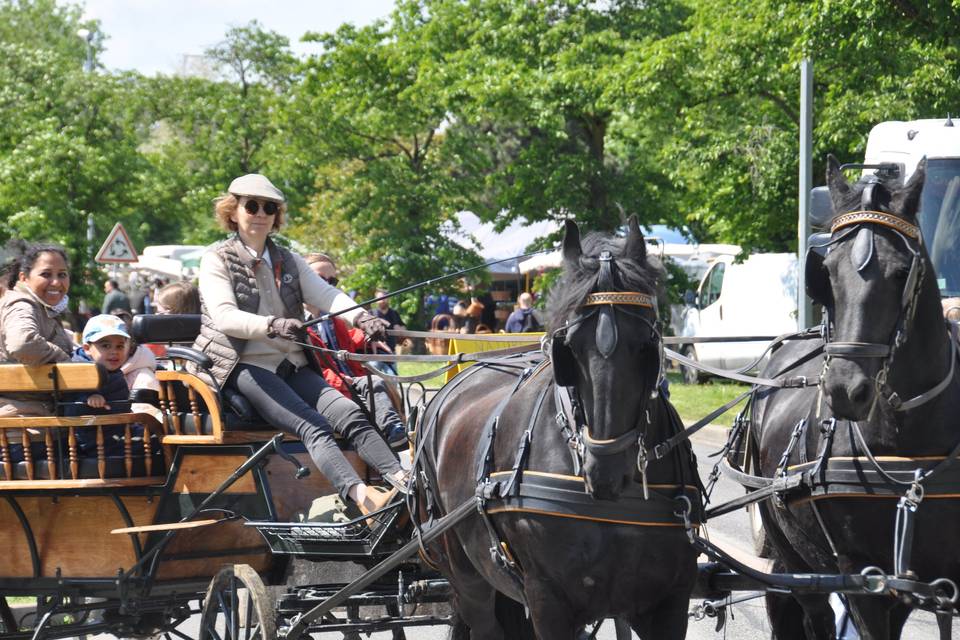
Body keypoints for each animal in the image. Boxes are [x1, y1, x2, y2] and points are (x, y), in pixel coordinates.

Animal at [416, 218, 700, 636]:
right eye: (571, 347)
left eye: (646, 344)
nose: (605, 470)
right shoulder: (548, 601)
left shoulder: (670, 601)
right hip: (466, 574)